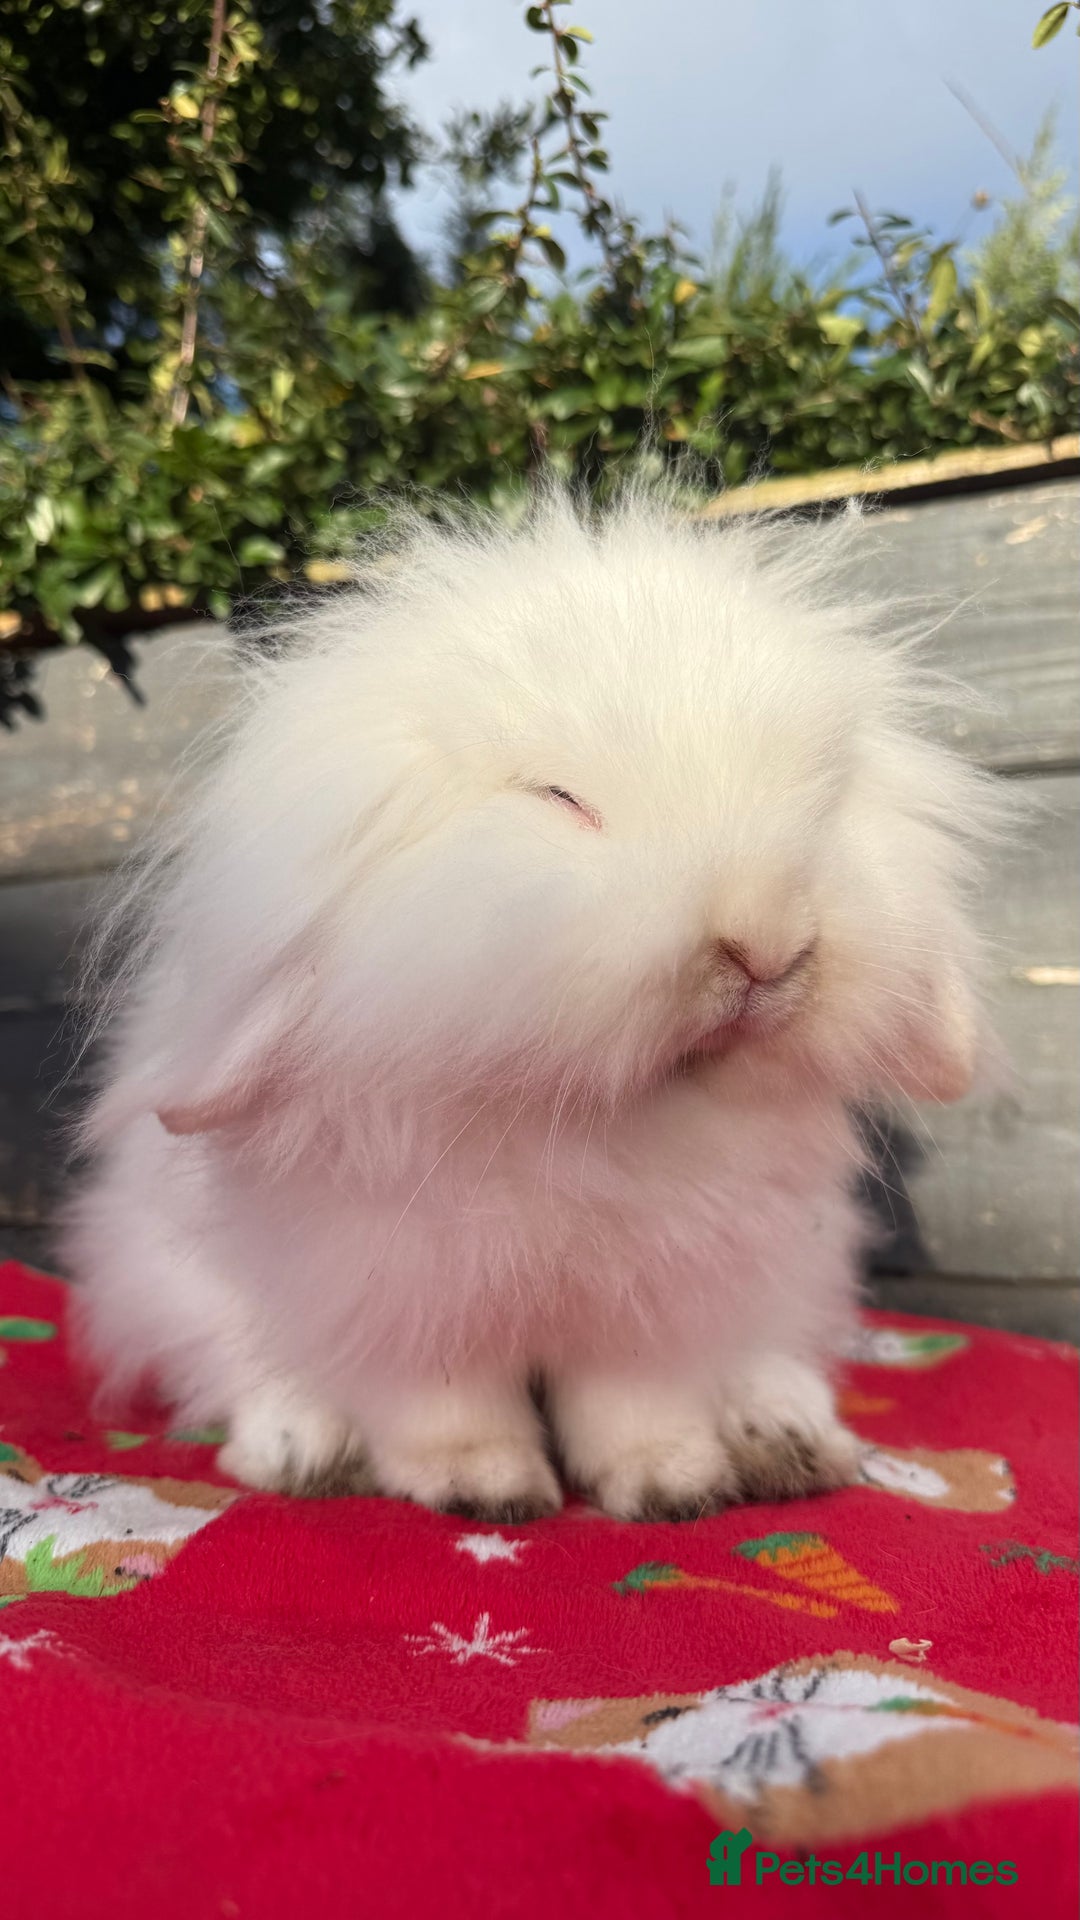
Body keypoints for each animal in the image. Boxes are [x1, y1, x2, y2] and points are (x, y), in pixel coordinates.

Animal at [61, 486, 999, 1523]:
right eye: (560, 797)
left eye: (824, 799)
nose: (765, 944)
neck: (599, 1124)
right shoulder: (401, 1296)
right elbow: (444, 1405)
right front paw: (485, 1489)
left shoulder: (658, 1303)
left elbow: (638, 1406)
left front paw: (670, 1485)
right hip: (171, 1273)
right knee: (239, 1366)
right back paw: (304, 1453)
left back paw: (789, 1445)